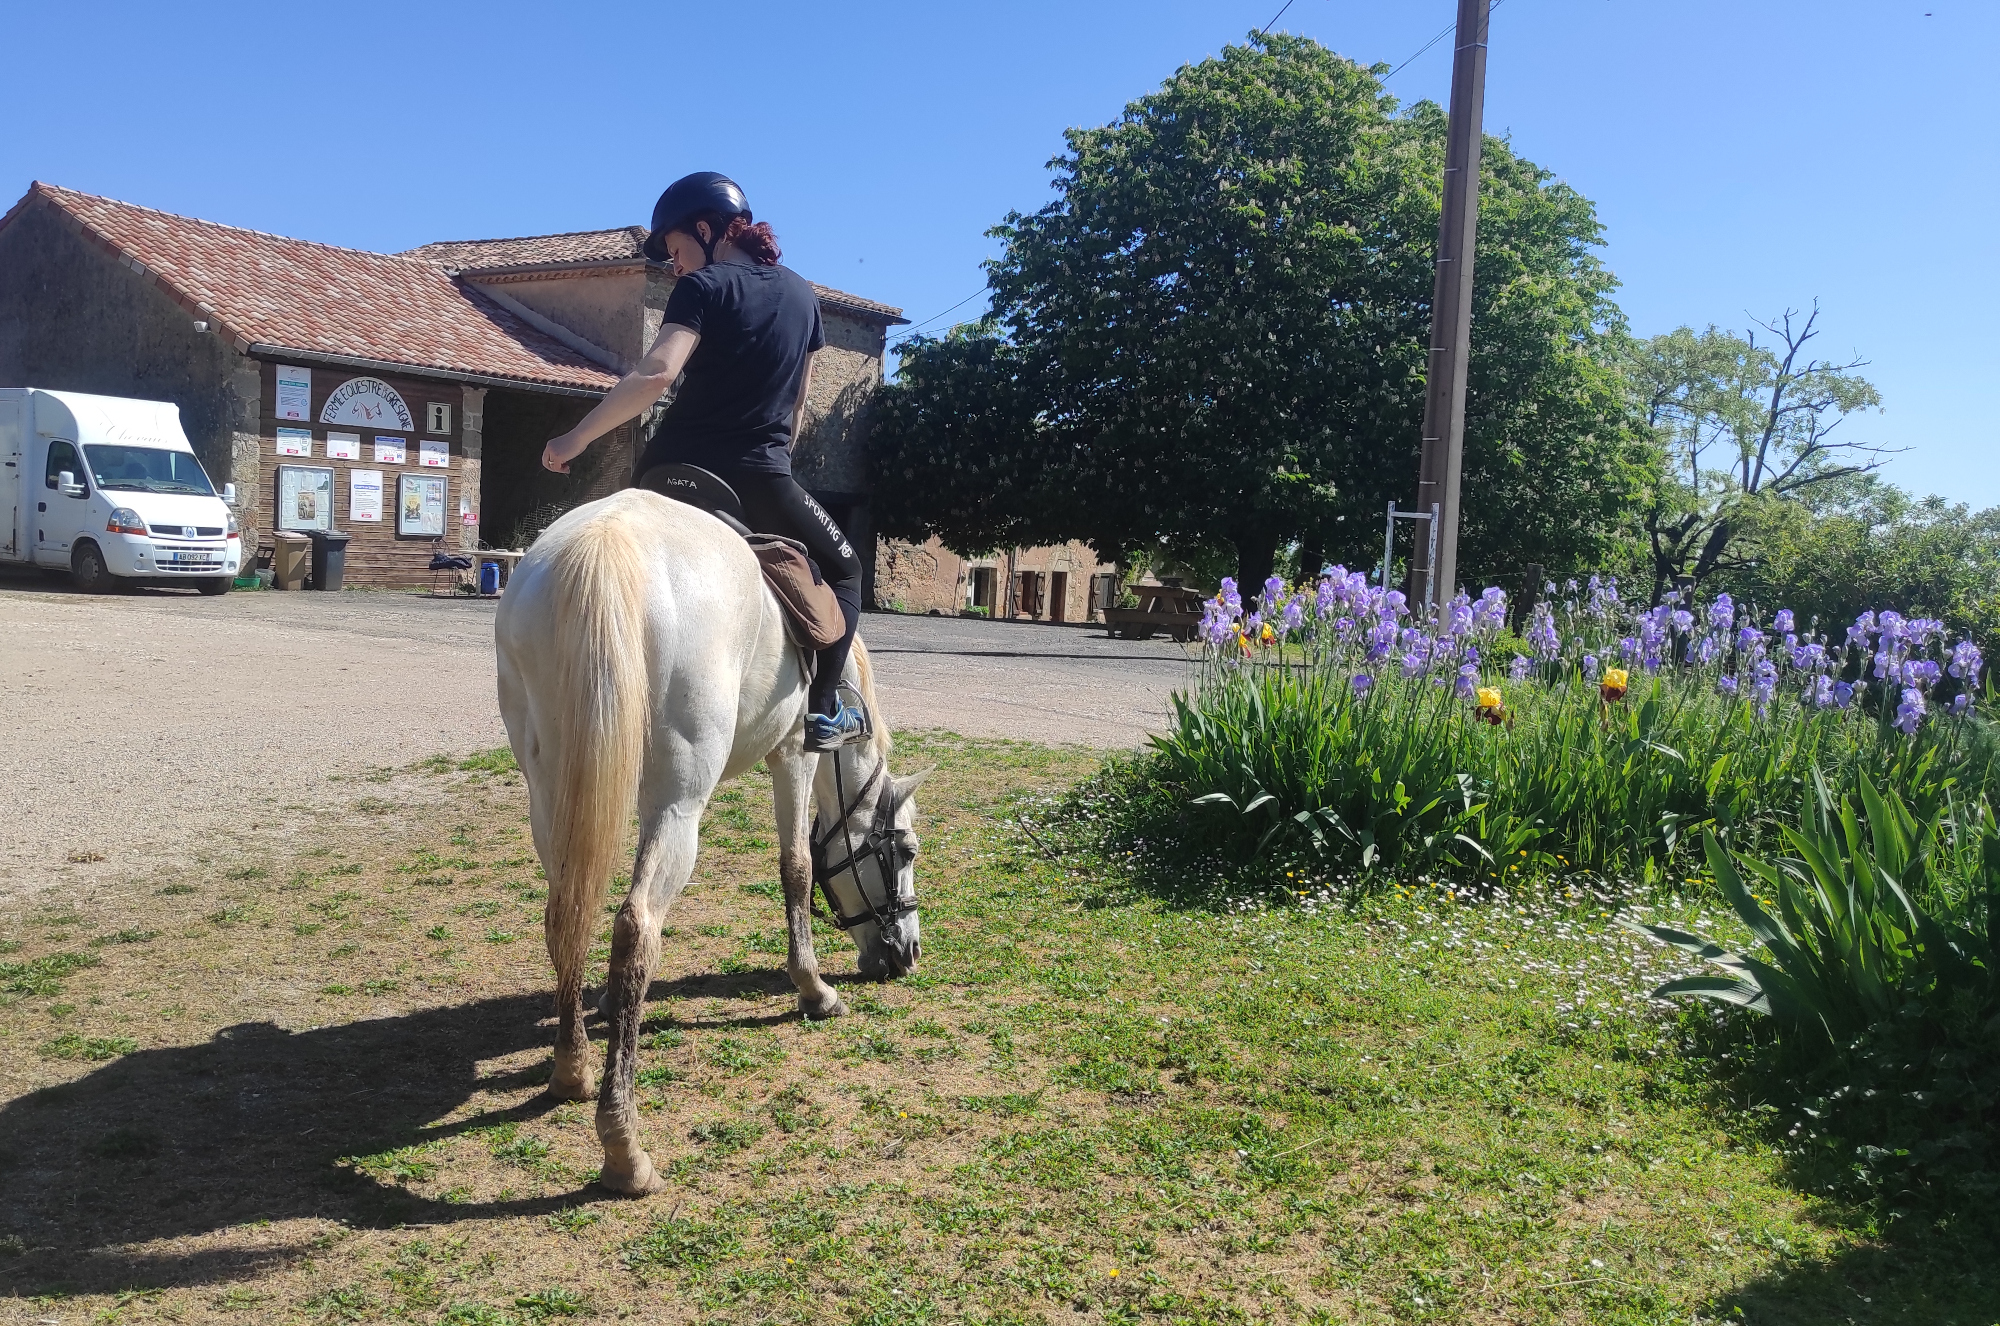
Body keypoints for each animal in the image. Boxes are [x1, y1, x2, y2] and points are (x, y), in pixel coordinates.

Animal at [492, 488, 920, 1192]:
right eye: (906, 851)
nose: (906, 952)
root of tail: (605, 541)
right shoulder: (794, 756)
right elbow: (797, 866)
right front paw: (813, 988)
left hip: (551, 790)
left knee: (566, 916)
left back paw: (572, 1069)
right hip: (680, 798)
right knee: (635, 927)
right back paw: (623, 1146)